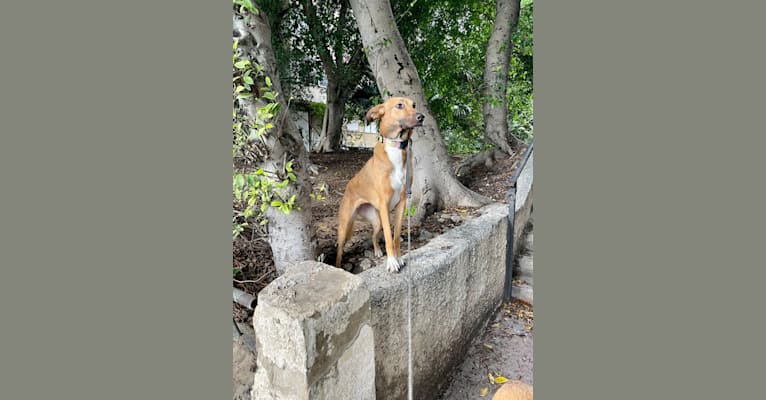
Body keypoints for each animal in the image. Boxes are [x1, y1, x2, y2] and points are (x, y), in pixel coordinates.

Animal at [334, 96, 424, 272]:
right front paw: (392, 262)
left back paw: (376, 251)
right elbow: (389, 237)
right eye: (399, 105)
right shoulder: (384, 203)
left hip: (377, 221)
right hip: (345, 226)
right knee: (340, 249)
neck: (396, 148)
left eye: (414, 105)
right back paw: (338, 266)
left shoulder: (401, 203)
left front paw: (398, 257)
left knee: (373, 236)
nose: (421, 117)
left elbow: (395, 237)